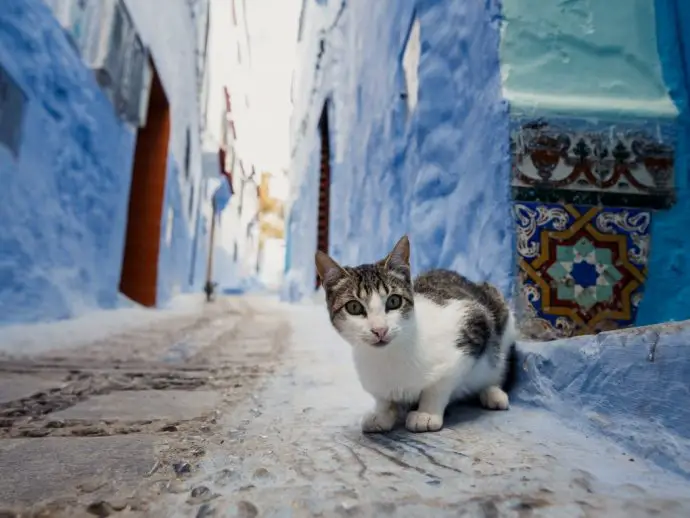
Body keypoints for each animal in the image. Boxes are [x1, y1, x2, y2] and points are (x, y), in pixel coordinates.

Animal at [314, 236, 516, 434]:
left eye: (394, 301)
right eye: (354, 307)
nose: (380, 329)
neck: (389, 356)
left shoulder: (473, 321)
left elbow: (440, 384)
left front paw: (426, 413)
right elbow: (383, 398)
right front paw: (382, 414)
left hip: (501, 312)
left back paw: (493, 393)